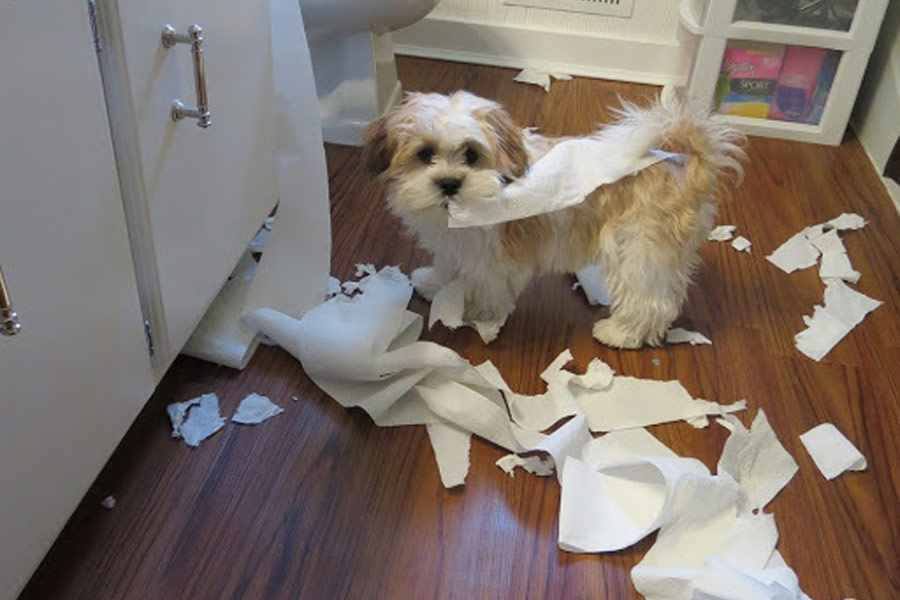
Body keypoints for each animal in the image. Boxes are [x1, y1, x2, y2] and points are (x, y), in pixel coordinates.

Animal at [360, 91, 744, 350]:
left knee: (650, 300)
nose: (450, 183)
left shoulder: (495, 258)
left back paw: (621, 333)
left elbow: (489, 287)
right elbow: (449, 265)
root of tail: (679, 160)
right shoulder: (455, 244)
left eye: (471, 154)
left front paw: (479, 313)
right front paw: (436, 284)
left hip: (639, 247)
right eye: (425, 154)